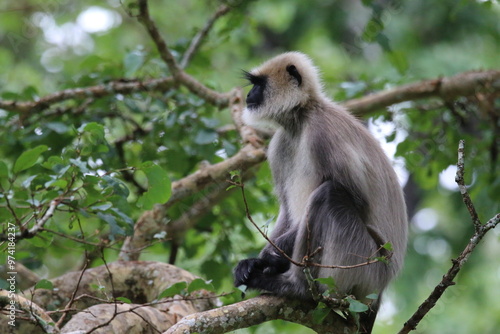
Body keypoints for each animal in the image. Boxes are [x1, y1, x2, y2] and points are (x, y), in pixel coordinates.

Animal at [233, 52, 406, 334]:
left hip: (365, 265)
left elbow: (358, 200)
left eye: (259, 84)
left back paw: (296, 287)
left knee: (328, 195)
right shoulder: (279, 144)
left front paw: (268, 258)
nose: (249, 94)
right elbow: (286, 209)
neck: (301, 119)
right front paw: (257, 262)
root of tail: (380, 293)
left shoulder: (323, 133)